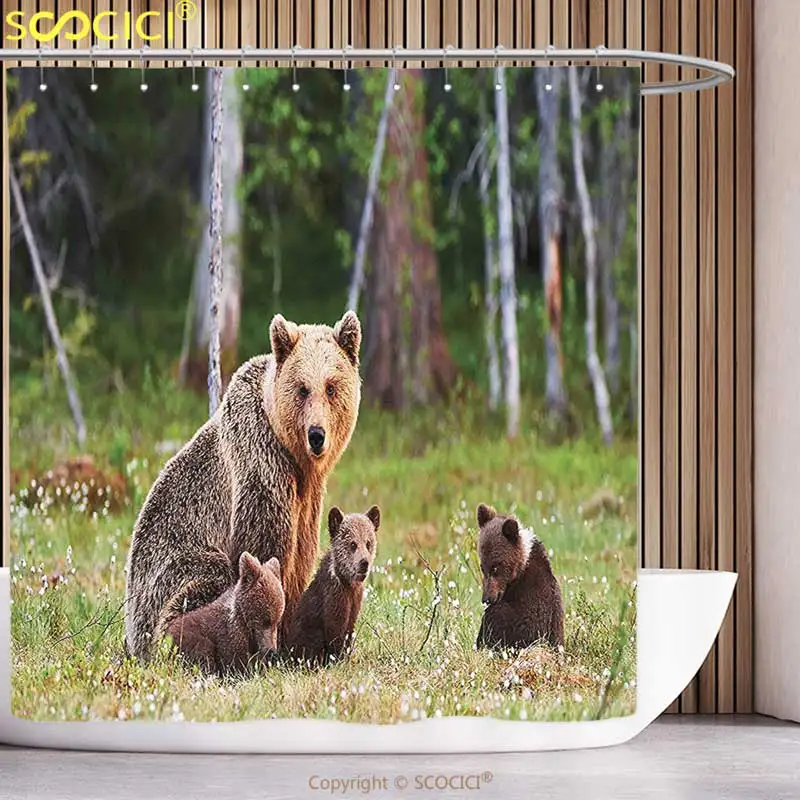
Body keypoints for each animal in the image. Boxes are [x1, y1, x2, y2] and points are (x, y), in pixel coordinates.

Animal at [124, 310, 362, 660]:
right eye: (303, 388)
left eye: (331, 387)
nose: (317, 435)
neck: (294, 455)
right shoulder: (260, 463)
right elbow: (265, 548)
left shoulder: (308, 496)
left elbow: (300, 557)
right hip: (166, 574)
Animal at [283, 505, 380, 668]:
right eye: (352, 544)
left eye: (368, 543)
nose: (364, 563)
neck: (348, 584)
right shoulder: (334, 600)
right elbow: (334, 635)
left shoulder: (354, 602)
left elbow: (348, 633)